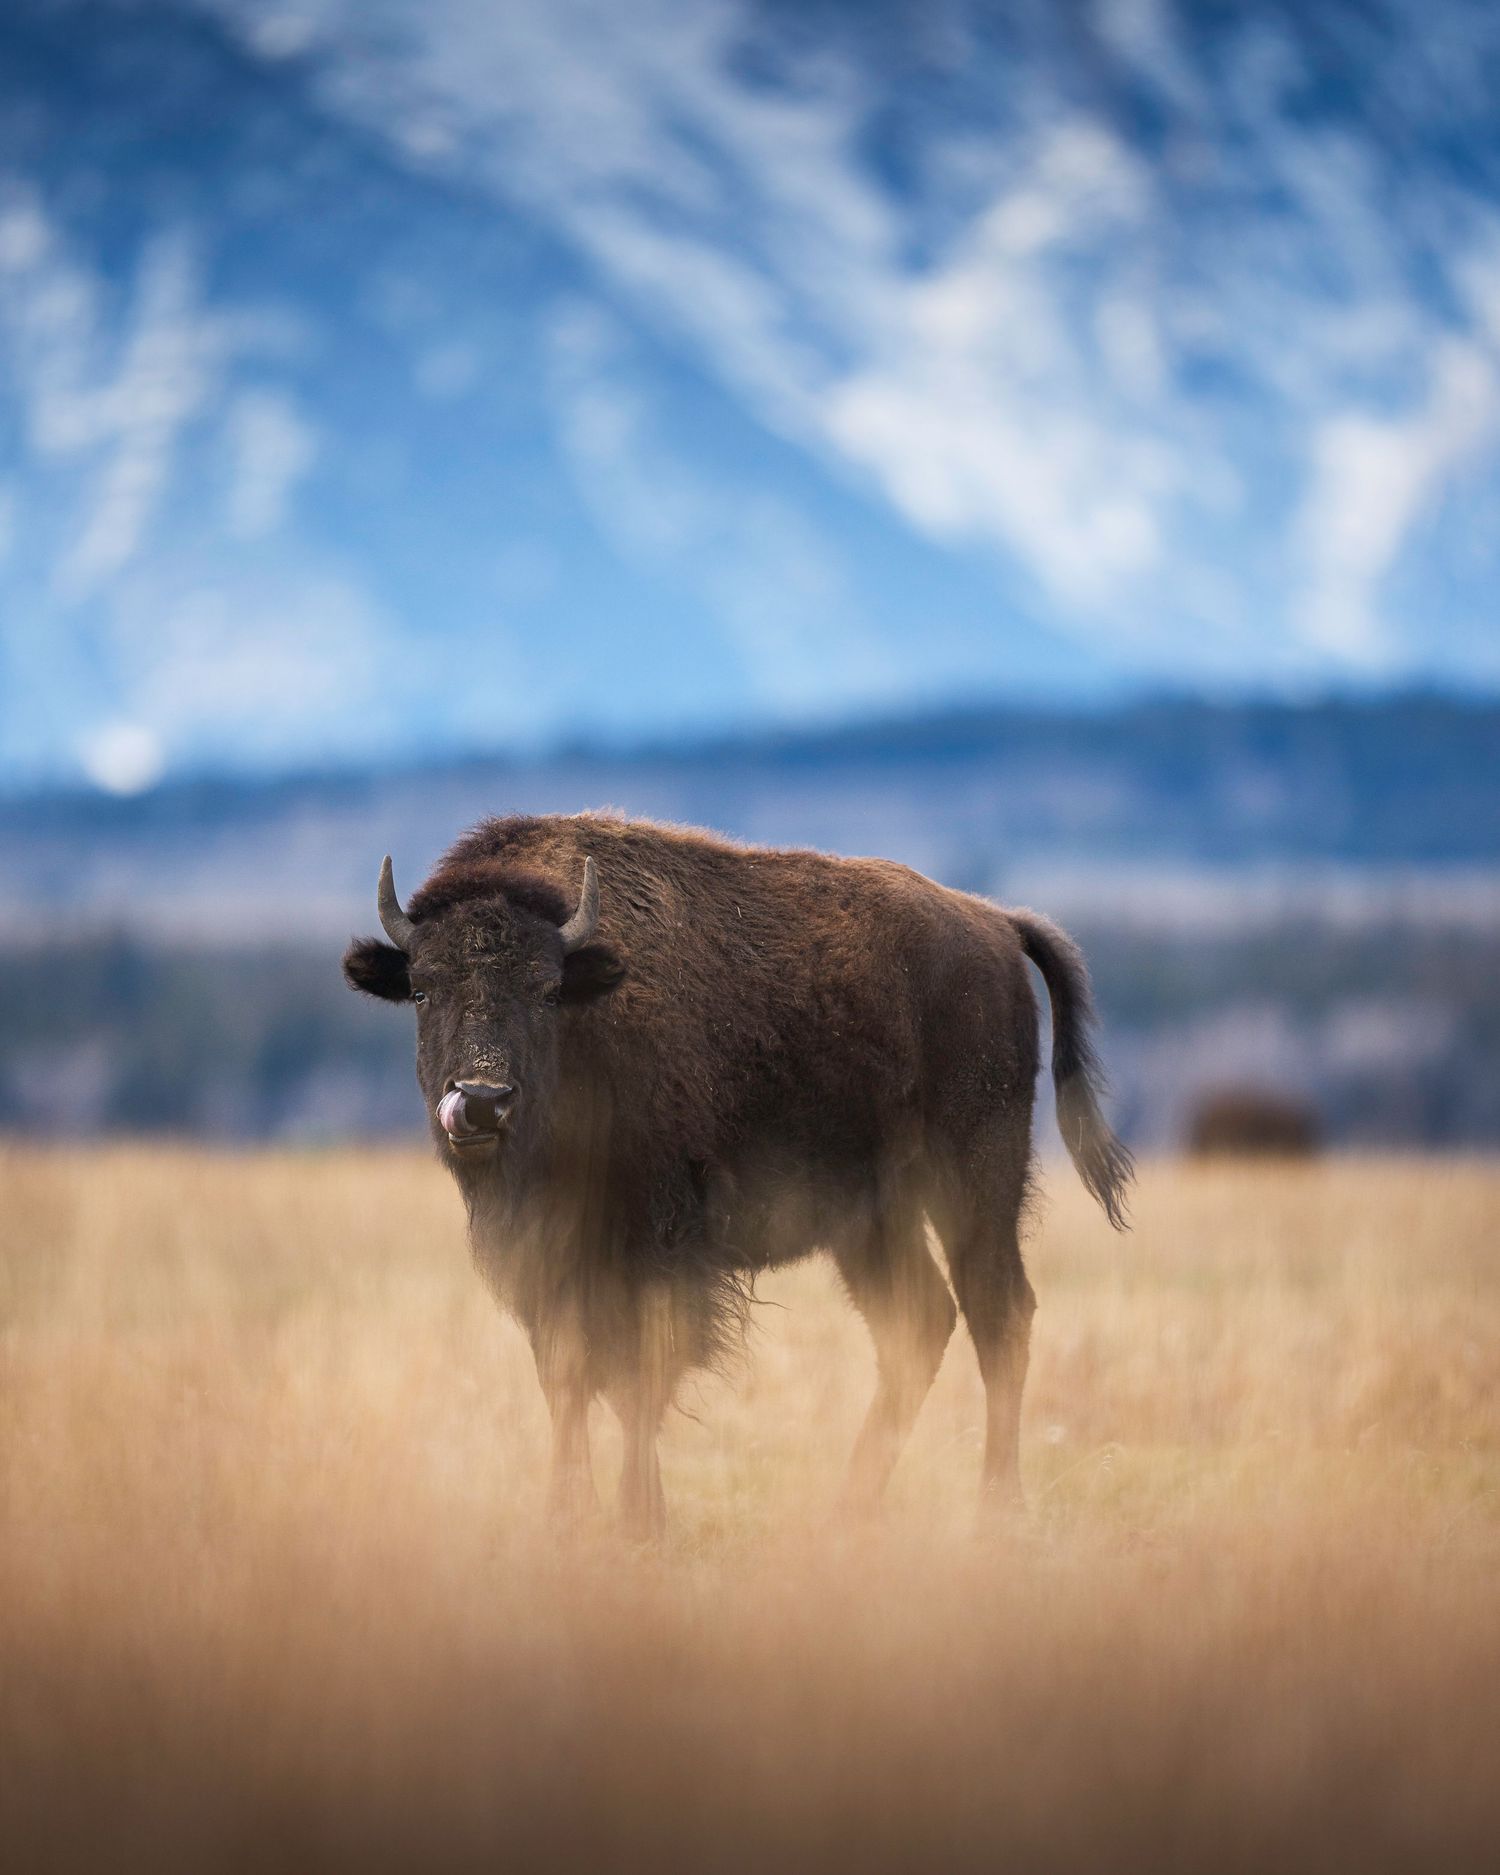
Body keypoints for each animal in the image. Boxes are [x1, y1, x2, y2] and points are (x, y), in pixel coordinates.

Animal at [344, 813, 1131, 1535]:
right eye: (424, 989)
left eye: (545, 989)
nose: (481, 1100)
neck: (587, 1018)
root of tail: (995, 924)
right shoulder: (547, 1256)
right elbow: (565, 1372)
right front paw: (568, 1516)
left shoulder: (660, 1246)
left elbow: (641, 1374)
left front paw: (640, 1518)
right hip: (873, 1220)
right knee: (919, 1323)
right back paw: (849, 1507)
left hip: (976, 1179)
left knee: (999, 1314)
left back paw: (997, 1506)